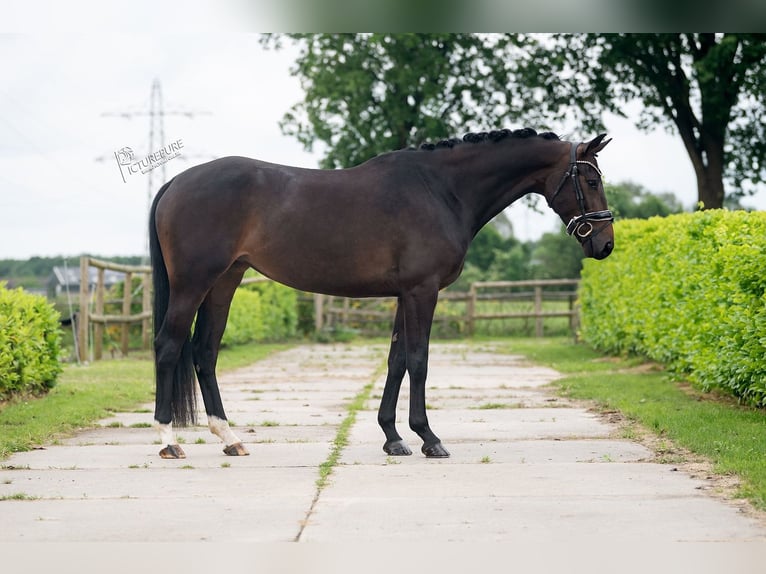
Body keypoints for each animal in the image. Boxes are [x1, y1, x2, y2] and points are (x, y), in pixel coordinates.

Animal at [153, 129, 616, 460]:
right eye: (591, 180)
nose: (606, 244)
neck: (442, 190)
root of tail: (175, 182)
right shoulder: (421, 292)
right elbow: (419, 360)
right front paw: (429, 438)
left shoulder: (404, 294)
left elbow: (396, 361)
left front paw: (393, 438)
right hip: (193, 283)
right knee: (169, 346)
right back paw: (168, 440)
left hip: (225, 281)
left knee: (205, 351)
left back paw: (229, 438)